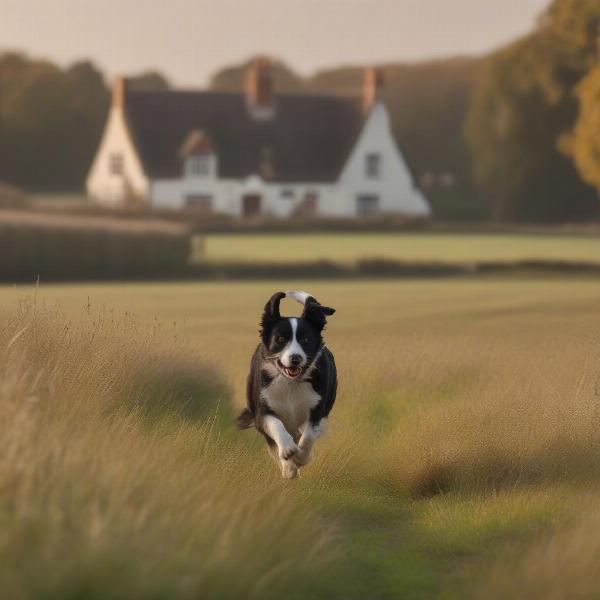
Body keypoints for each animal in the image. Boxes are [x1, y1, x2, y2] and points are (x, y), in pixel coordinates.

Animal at [236, 290, 338, 478]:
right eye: (281, 339)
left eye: (305, 340)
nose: (295, 358)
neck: (290, 383)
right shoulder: (262, 409)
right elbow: (276, 426)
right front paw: (288, 455)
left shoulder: (317, 410)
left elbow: (308, 436)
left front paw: (301, 457)